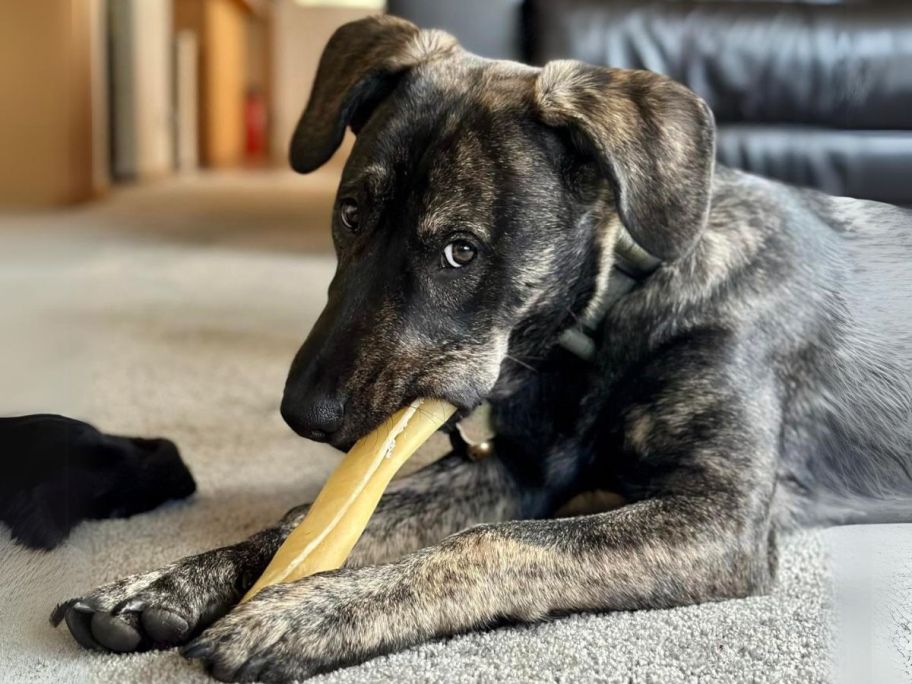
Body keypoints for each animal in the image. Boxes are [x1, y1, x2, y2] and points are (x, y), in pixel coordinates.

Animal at [51, 13, 912, 680]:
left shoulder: (718, 515)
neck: (606, 311)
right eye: (351, 213)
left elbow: (491, 545)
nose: (303, 414)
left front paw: (304, 613)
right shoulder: (512, 468)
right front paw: (164, 584)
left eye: (461, 251)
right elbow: (308, 519)